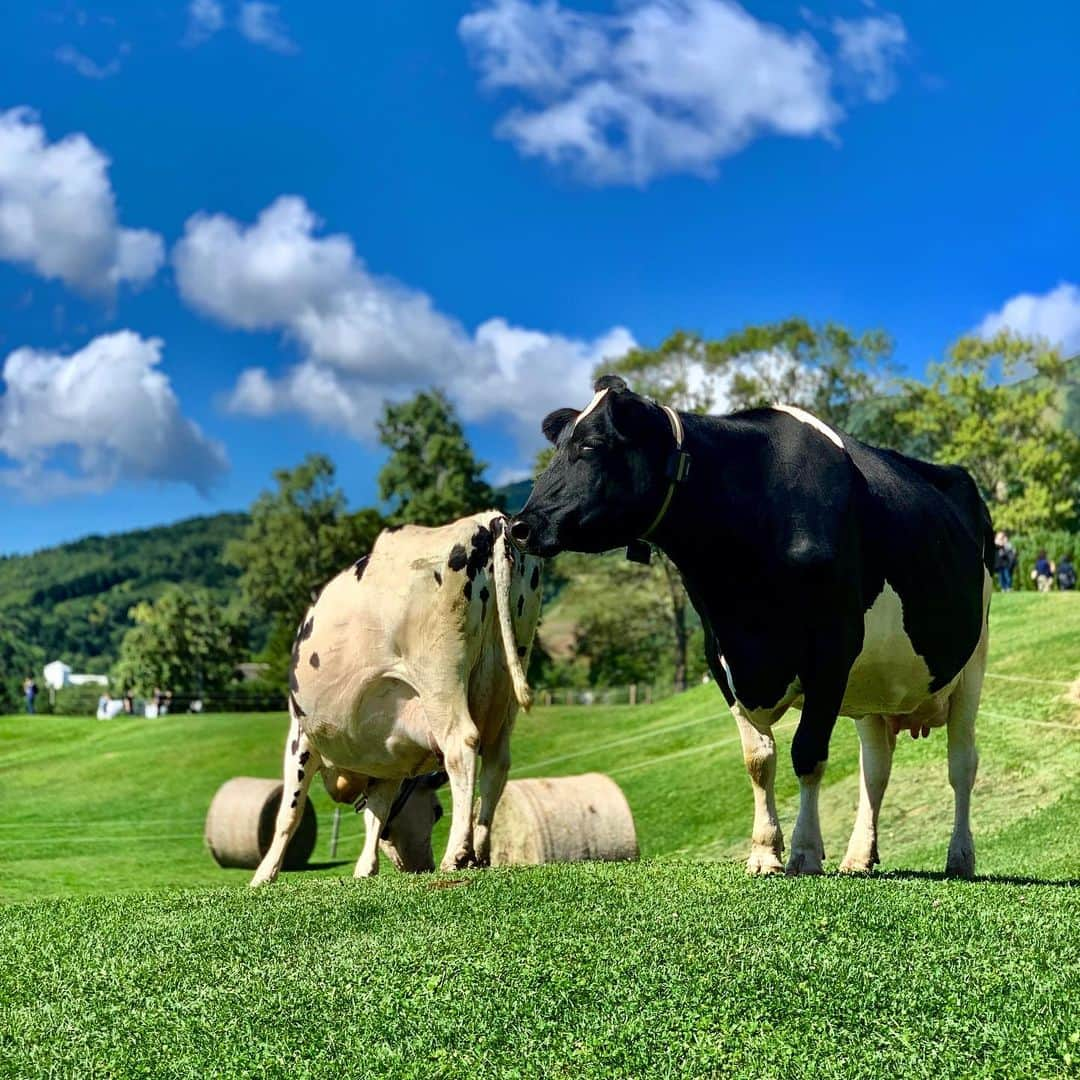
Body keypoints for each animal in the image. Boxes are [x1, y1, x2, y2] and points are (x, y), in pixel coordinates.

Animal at [250, 507, 540, 885]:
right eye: (435, 810)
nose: (421, 865)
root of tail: (488, 520)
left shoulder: (300, 735)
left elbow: (290, 812)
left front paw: (263, 876)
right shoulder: (387, 754)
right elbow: (377, 811)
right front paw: (364, 870)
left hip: (439, 676)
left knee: (461, 744)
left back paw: (457, 854)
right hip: (507, 678)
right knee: (496, 761)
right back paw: (481, 853)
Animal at [509, 375, 989, 872]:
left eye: (592, 445)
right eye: (560, 445)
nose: (519, 526)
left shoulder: (832, 649)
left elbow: (807, 752)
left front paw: (803, 852)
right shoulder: (721, 656)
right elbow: (758, 759)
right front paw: (764, 851)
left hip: (973, 663)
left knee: (961, 763)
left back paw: (960, 856)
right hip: (876, 683)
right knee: (875, 768)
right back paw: (859, 856)